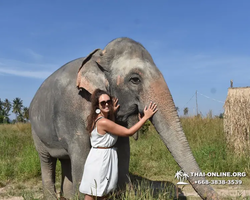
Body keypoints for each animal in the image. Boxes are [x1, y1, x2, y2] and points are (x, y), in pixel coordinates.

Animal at [29, 38, 219, 200]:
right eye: (135, 79)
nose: (219, 196)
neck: (99, 56)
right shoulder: (74, 112)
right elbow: (81, 154)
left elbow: (123, 149)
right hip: (36, 133)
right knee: (47, 161)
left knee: (65, 161)